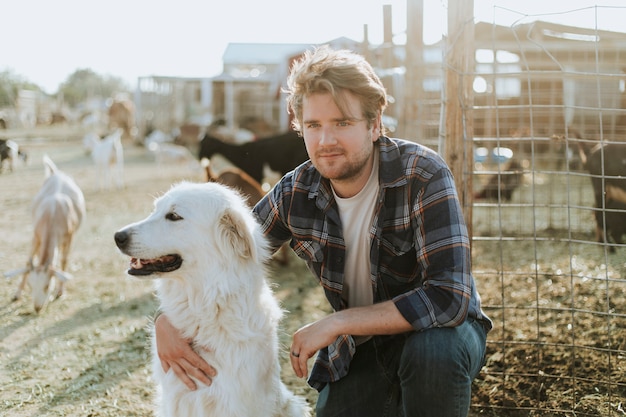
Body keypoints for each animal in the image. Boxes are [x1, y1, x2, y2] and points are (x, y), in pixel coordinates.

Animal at [4, 156, 86, 312]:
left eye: (47, 285)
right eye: (30, 285)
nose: (37, 308)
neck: (53, 213)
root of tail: (57, 173)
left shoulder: (69, 238)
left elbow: (64, 261)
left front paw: (60, 292)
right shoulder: (36, 236)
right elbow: (28, 261)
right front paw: (16, 295)